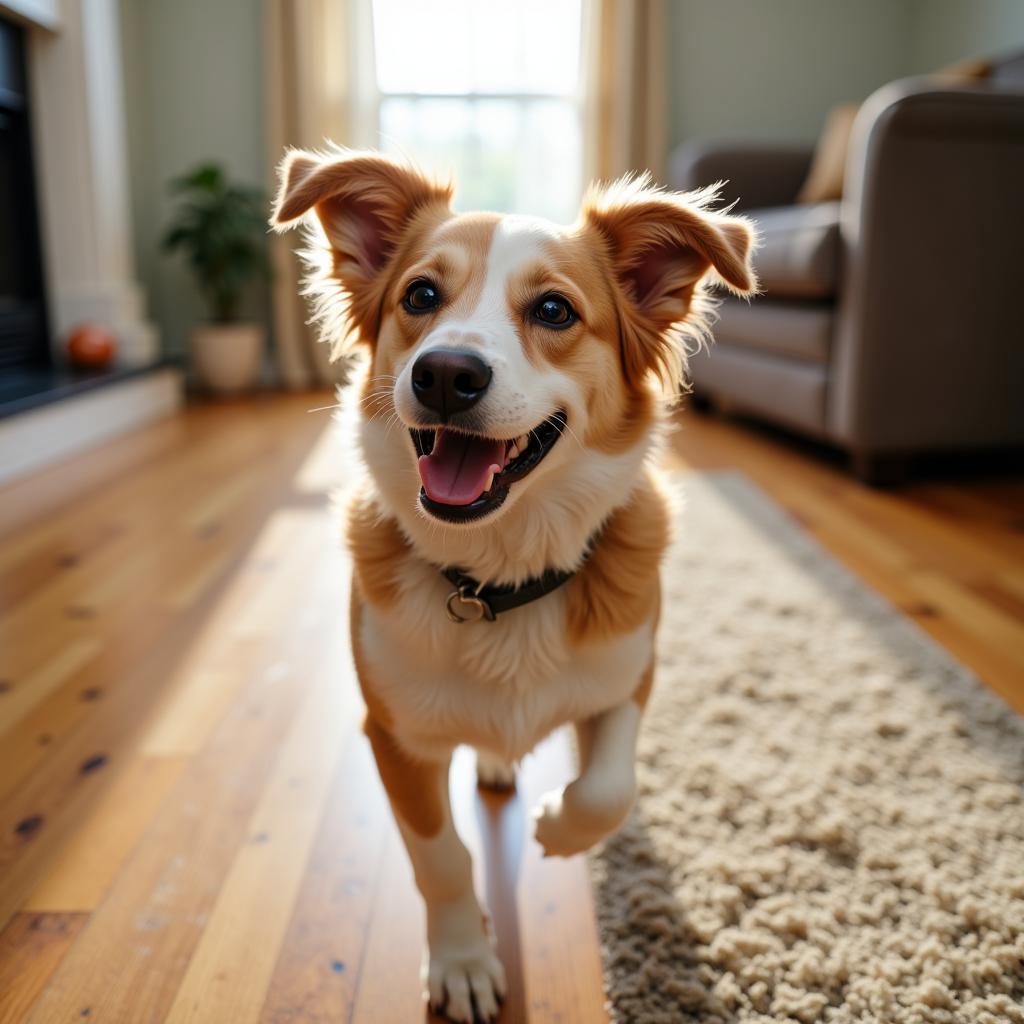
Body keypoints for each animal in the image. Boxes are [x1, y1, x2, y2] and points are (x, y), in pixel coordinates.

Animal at [270, 148, 753, 1019]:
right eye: (420, 297)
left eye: (555, 310)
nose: (445, 374)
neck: (497, 575)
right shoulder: (392, 736)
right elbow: (442, 859)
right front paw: (463, 960)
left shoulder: (629, 676)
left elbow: (609, 787)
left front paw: (557, 827)